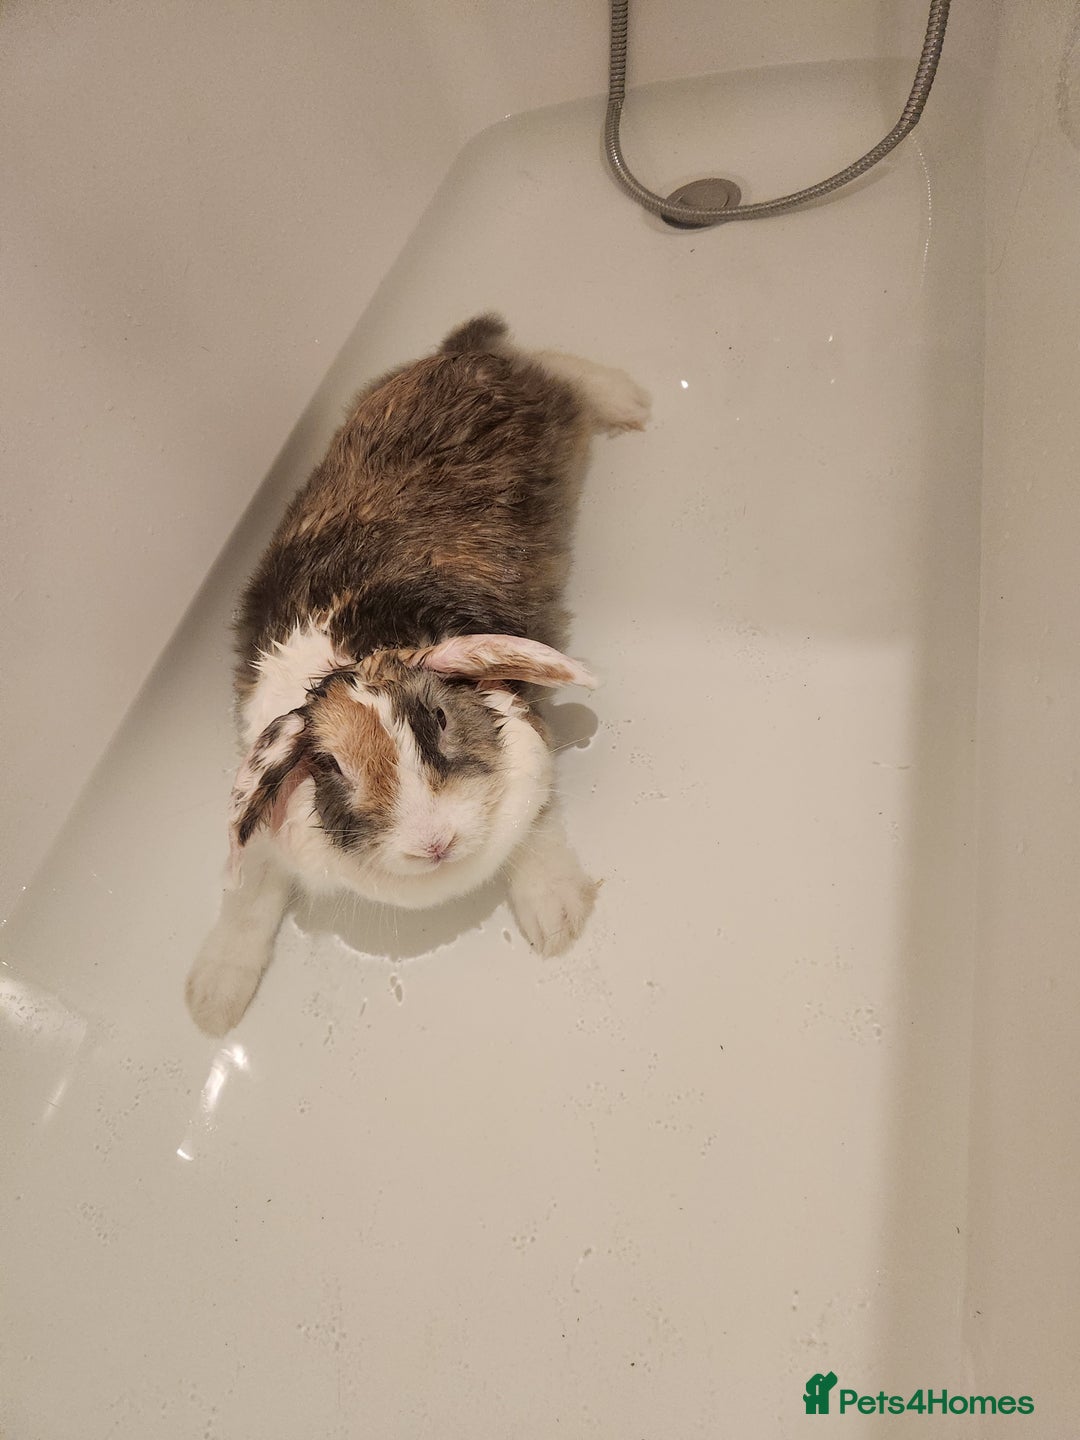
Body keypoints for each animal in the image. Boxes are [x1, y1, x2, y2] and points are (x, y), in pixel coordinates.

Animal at [185, 314, 650, 1035]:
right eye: (329, 767)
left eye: (436, 718)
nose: (434, 843)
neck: (359, 648)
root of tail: (461, 355)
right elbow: (249, 896)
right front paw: (212, 1001)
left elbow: (537, 828)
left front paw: (557, 916)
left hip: (560, 415)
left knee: (559, 366)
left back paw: (630, 399)